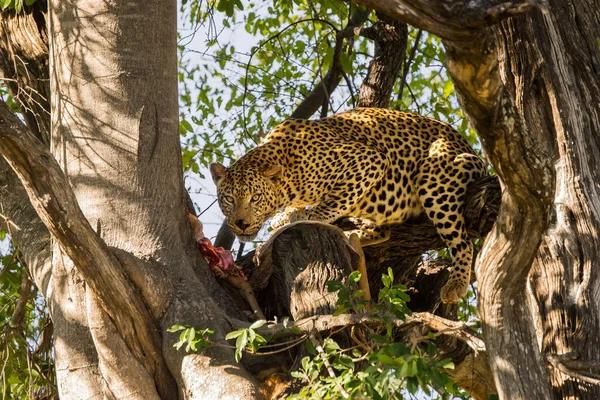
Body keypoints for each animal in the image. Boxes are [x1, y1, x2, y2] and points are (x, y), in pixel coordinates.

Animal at [211, 107, 488, 304]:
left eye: (255, 198)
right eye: (229, 199)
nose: (241, 223)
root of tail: (474, 153)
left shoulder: (368, 160)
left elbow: (330, 204)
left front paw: (305, 217)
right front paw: (287, 216)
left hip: (434, 174)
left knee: (461, 240)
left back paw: (456, 283)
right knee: (384, 231)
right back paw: (356, 234)